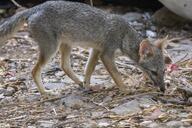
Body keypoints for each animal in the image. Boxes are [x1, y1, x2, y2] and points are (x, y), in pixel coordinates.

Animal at [0, 0, 171, 97]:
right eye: (154, 72)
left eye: (164, 71)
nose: (163, 89)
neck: (124, 34)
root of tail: (35, 8)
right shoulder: (106, 54)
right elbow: (116, 75)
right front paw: (125, 89)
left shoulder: (96, 50)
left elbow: (89, 69)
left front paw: (88, 84)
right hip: (51, 50)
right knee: (34, 71)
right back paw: (45, 93)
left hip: (66, 45)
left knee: (65, 66)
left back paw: (80, 84)